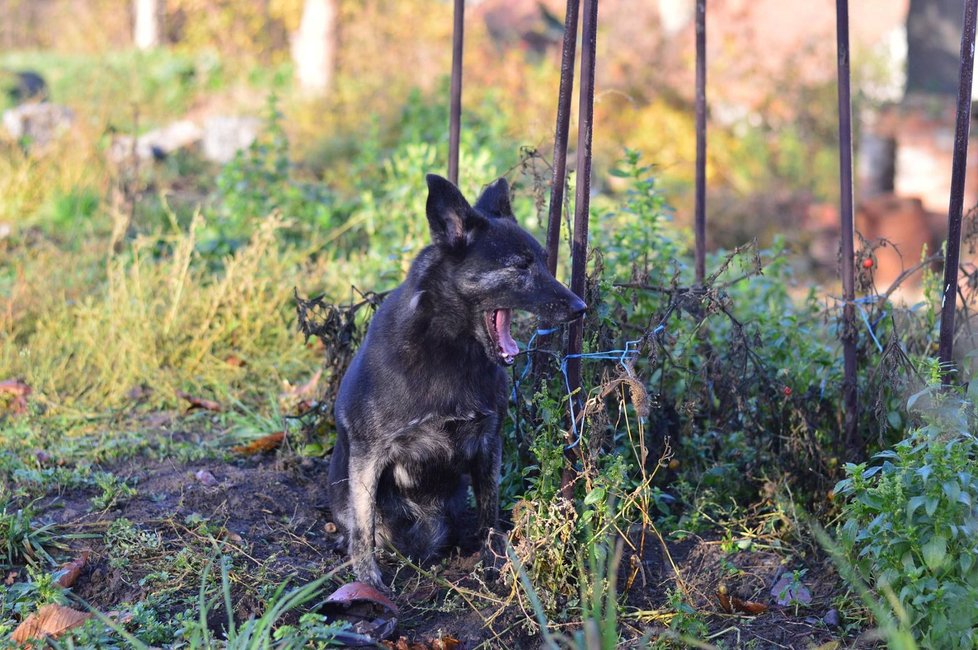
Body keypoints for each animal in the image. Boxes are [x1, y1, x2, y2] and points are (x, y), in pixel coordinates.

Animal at [328, 173, 588, 588]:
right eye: (521, 266)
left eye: (544, 263)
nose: (581, 308)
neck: (450, 351)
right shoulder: (368, 456)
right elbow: (364, 528)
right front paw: (368, 582)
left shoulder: (489, 443)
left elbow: (489, 514)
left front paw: (492, 561)